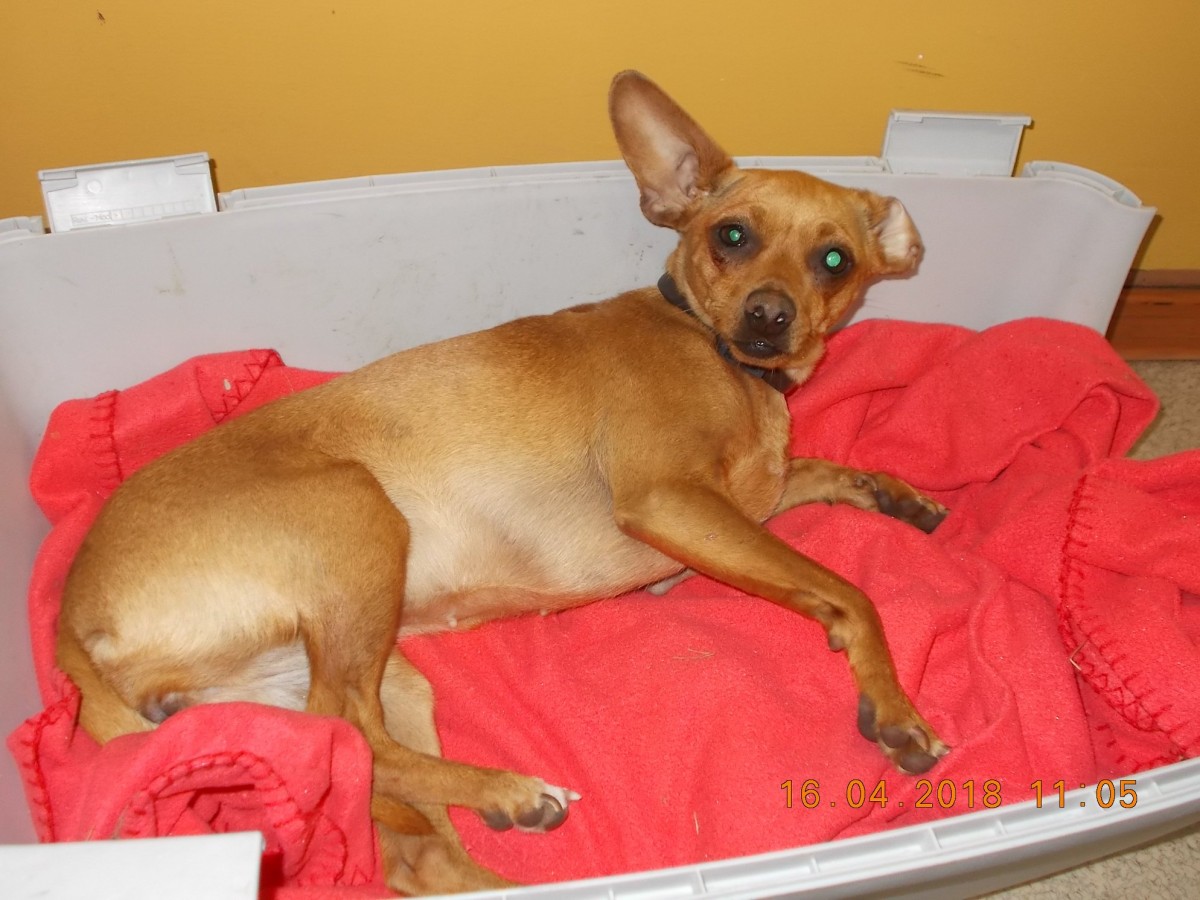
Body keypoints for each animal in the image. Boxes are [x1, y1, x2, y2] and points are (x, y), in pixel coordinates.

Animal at [56, 71, 949, 894]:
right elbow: (846, 589)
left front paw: (895, 494)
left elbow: (817, 471)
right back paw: (509, 789)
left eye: (833, 260)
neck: (720, 356)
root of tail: (73, 614)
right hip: (357, 521)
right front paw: (895, 708)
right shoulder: (673, 502)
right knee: (349, 734)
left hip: (378, 681)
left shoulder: (737, 508)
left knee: (399, 825)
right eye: (732, 235)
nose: (769, 315)